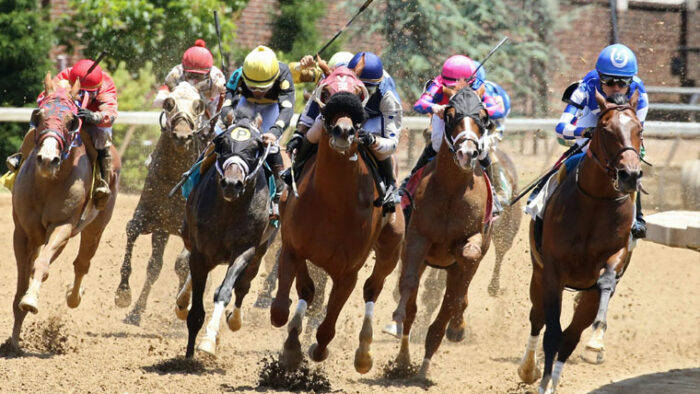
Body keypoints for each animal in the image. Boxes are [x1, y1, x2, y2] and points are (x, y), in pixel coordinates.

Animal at [10, 74, 119, 350]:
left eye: (72, 121)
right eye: (38, 115)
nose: (48, 160)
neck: (47, 184)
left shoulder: (63, 226)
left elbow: (41, 265)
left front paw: (30, 301)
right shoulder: (22, 232)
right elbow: (23, 277)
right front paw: (13, 339)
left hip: (96, 225)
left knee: (82, 263)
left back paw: (74, 295)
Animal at [114, 81, 208, 324]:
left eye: (198, 105)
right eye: (168, 103)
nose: (182, 136)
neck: (175, 181)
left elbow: (184, 263)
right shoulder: (155, 219)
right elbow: (135, 235)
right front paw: (124, 295)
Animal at [272, 67, 404, 372]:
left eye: (357, 92)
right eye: (327, 91)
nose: (344, 131)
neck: (332, 203)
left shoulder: (348, 272)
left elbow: (326, 328)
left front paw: (316, 349)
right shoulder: (292, 248)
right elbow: (283, 307)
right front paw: (291, 348)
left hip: (391, 249)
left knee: (372, 289)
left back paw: (364, 353)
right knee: (306, 292)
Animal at [394, 87, 492, 378]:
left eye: (482, 116)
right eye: (450, 115)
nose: (467, 153)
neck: (451, 190)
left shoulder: (473, 240)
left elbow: (467, 261)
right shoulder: (417, 238)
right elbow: (409, 289)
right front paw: (398, 316)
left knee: (454, 300)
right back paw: (404, 360)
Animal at [516, 90, 644, 394]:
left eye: (640, 130)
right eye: (605, 129)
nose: (630, 175)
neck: (595, 202)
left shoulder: (614, 256)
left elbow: (605, 283)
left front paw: (597, 337)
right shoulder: (553, 271)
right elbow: (550, 332)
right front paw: (540, 381)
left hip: (585, 292)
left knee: (571, 335)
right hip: (538, 274)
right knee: (538, 318)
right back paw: (529, 369)